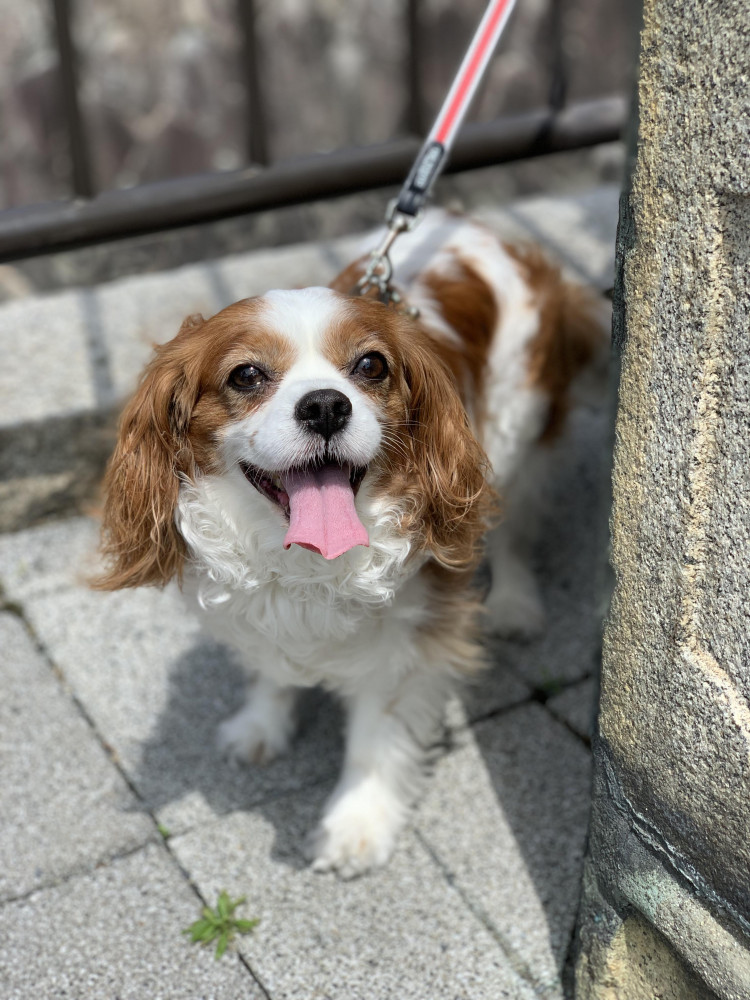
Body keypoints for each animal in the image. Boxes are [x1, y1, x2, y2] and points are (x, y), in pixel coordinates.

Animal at [95, 211, 604, 876]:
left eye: (370, 367)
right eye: (246, 375)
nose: (325, 405)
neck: (302, 561)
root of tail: (482, 227)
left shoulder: (410, 636)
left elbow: (376, 737)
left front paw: (358, 824)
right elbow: (270, 669)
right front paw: (261, 724)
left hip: (518, 435)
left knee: (514, 528)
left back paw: (516, 604)